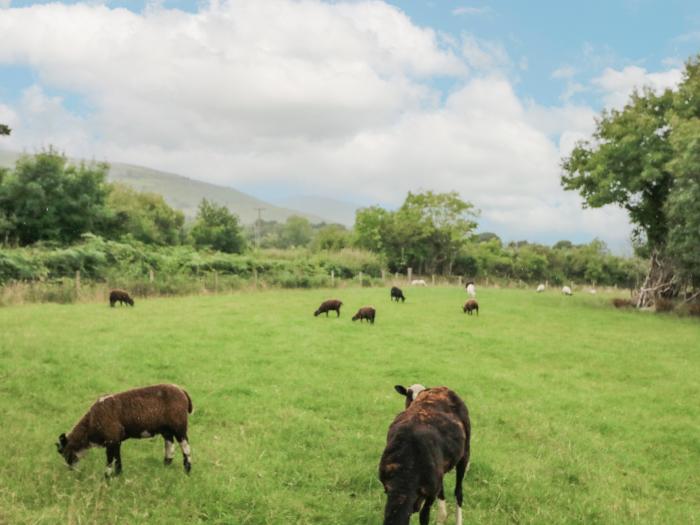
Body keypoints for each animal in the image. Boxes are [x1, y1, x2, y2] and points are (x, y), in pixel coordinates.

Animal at [56, 382, 193, 476]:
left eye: (65, 453)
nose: (70, 470)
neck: (90, 425)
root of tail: (182, 391)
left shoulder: (111, 439)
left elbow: (110, 460)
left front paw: (106, 478)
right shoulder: (116, 440)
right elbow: (117, 459)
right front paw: (118, 475)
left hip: (179, 426)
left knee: (185, 447)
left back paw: (187, 470)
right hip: (166, 429)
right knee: (169, 444)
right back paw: (166, 465)